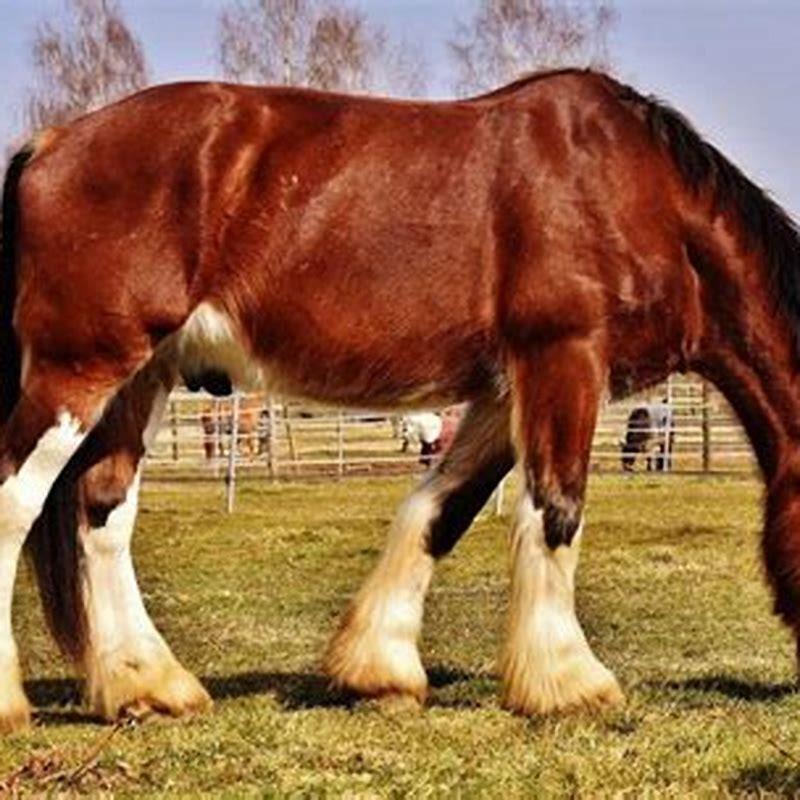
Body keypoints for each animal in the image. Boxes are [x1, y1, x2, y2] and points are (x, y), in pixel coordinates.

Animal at [2, 67, 800, 732]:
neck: (638, 193)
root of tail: (52, 143)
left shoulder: (501, 391)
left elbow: (439, 511)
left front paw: (377, 669)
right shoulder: (564, 358)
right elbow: (556, 512)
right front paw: (568, 683)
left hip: (140, 377)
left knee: (103, 512)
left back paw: (148, 687)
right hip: (81, 370)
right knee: (16, 503)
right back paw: (17, 707)